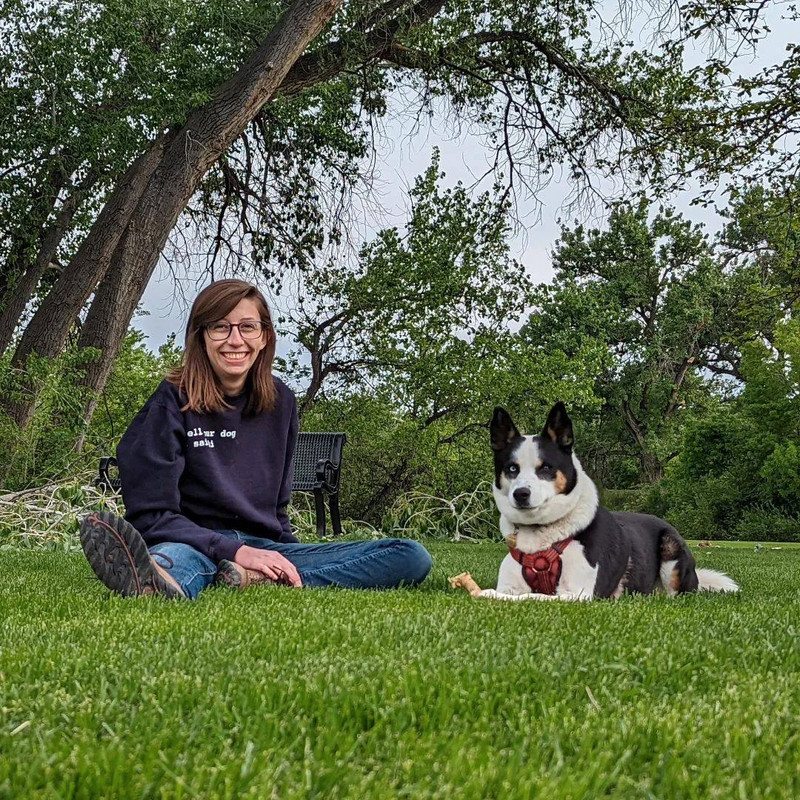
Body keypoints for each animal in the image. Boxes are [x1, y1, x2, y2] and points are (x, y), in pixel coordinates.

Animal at [478, 406, 740, 600]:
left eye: (545, 468)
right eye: (512, 468)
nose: (520, 494)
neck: (542, 538)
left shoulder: (577, 593)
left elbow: (531, 596)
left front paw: (487, 594)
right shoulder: (512, 584)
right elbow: (514, 592)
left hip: (671, 551)